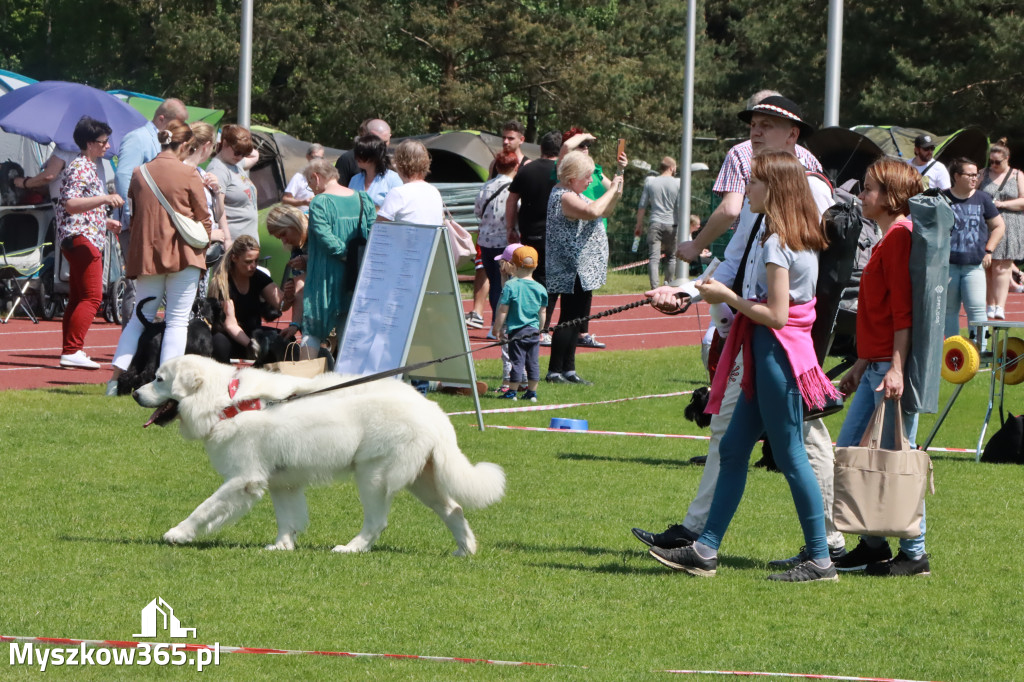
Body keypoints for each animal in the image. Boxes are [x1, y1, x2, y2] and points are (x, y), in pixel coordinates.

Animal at [132, 352, 507, 557]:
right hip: (422, 479)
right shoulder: (282, 482)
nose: (135, 393)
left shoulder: (243, 479)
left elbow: (204, 508)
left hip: (373, 476)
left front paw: (178, 534)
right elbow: (288, 519)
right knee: (454, 509)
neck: (226, 400)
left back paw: (352, 548)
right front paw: (282, 546)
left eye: (160, 379)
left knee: (377, 521)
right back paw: (464, 549)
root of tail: (434, 411)